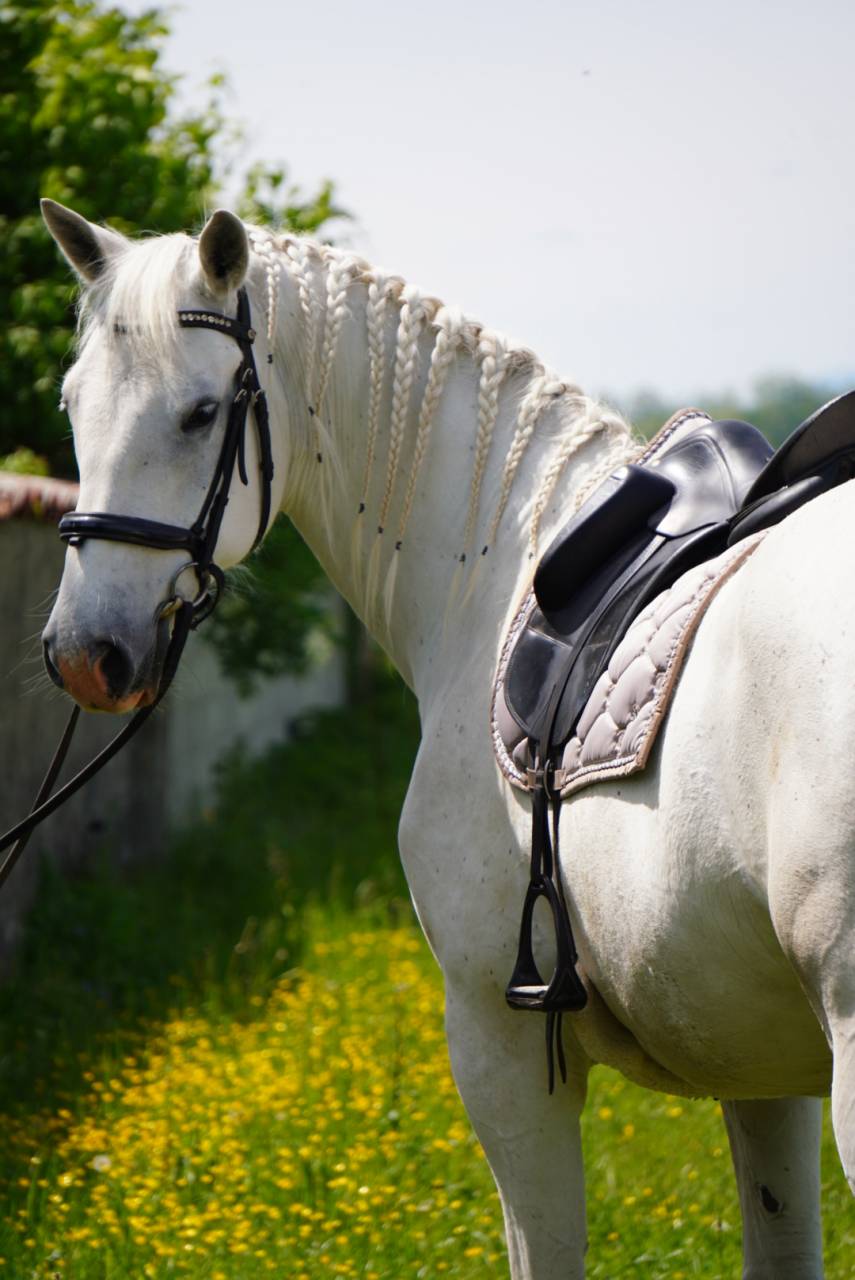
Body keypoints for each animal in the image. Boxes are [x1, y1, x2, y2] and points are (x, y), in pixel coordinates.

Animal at [38, 198, 853, 1279]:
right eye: (73, 402)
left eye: (202, 413)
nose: (86, 653)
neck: (501, 566)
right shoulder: (758, 1068)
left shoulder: (497, 1044)